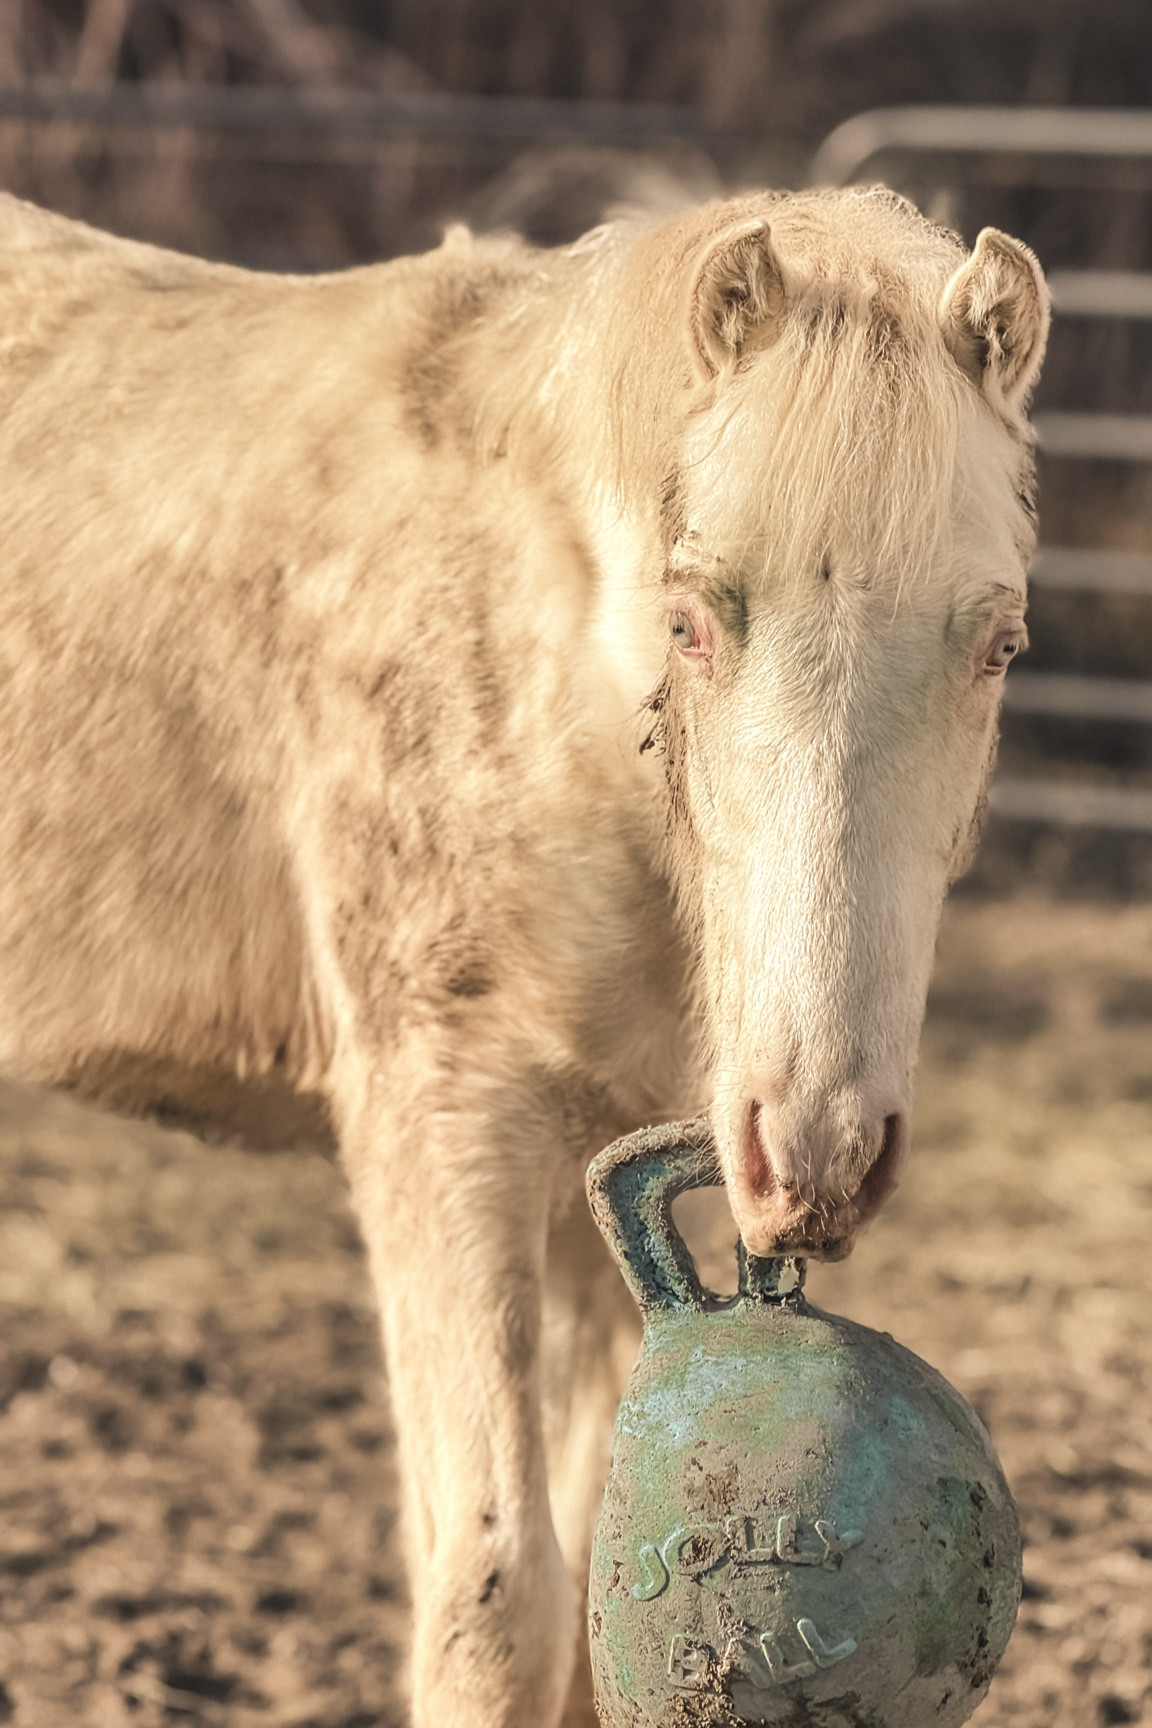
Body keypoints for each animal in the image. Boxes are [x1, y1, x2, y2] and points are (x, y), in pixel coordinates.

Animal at [0, 183, 1046, 1725]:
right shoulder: (451, 1133)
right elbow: (498, 1601)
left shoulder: (609, 1165)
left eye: (997, 645)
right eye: (691, 618)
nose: (816, 1155)